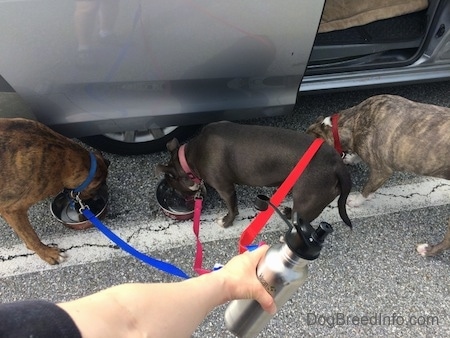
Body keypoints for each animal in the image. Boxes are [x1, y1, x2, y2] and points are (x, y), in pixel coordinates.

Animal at [156, 121, 354, 230]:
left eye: (175, 189)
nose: (185, 200)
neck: (189, 158)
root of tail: (337, 163)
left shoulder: (225, 188)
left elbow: (232, 208)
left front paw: (226, 222)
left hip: (308, 199)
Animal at [306, 93, 450, 258]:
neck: (350, 123)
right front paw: (351, 159)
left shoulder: (382, 171)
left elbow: (367, 188)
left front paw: (356, 200)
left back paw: (428, 250)